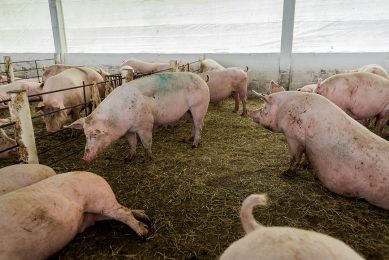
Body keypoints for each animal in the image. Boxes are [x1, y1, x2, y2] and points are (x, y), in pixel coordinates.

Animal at [0, 172, 149, 258]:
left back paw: (144, 233)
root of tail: (94, 174)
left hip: (100, 200)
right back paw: (144, 216)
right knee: (124, 209)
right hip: (97, 211)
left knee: (124, 213)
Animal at [66, 72, 209, 162]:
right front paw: (128, 158)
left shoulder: (145, 125)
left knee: (199, 125)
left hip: (199, 106)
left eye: (95, 134)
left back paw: (194, 145)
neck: (117, 117)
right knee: (194, 124)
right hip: (188, 112)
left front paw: (148, 158)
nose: (85, 158)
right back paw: (188, 139)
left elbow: (146, 142)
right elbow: (132, 143)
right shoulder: (128, 130)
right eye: (85, 134)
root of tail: (202, 79)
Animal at [249, 91, 388, 209]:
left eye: (264, 108)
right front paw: (305, 166)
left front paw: (286, 174)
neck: (283, 109)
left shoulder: (293, 137)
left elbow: (295, 157)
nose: (251, 113)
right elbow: (306, 155)